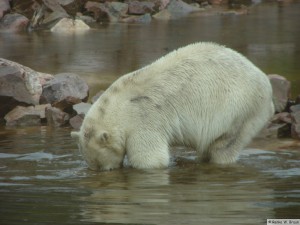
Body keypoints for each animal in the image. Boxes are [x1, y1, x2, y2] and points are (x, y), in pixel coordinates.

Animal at [70, 41, 274, 171]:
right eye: (93, 164)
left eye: (102, 164)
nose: (107, 170)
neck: (120, 104)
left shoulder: (143, 117)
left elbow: (151, 159)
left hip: (241, 110)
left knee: (225, 145)